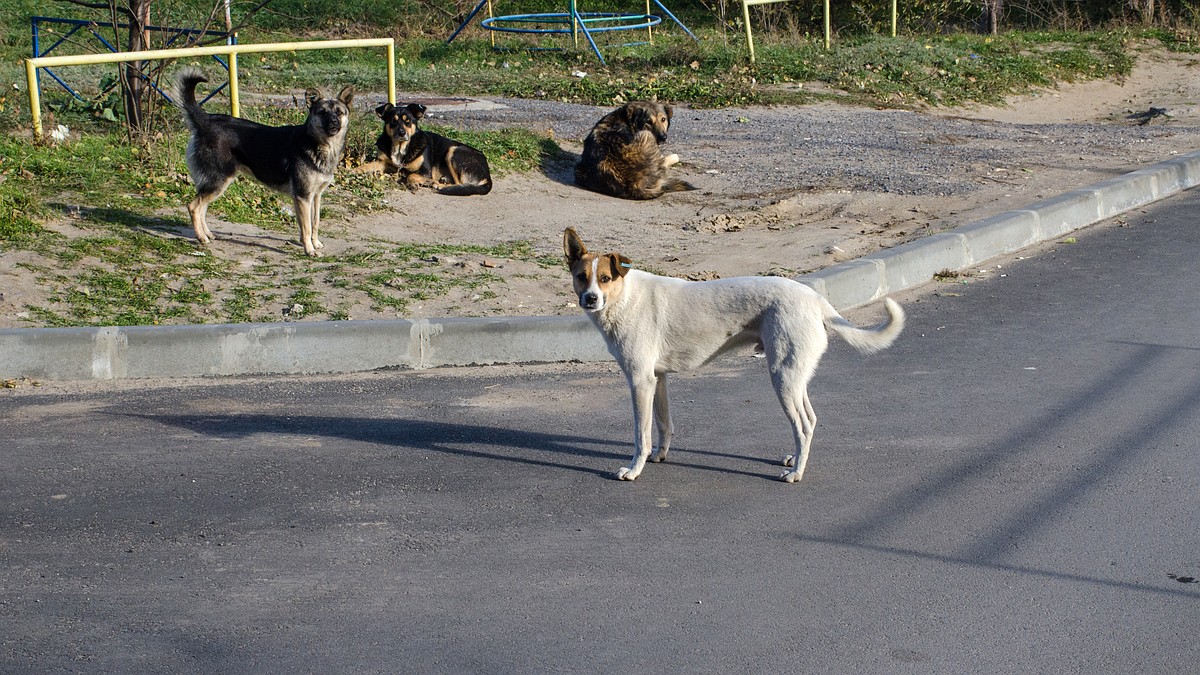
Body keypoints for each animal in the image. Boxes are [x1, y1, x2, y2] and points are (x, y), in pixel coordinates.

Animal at [175, 69, 350, 254]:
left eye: (339, 112)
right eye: (322, 112)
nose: (333, 122)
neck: (318, 144)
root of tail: (205, 121)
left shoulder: (315, 196)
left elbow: (314, 223)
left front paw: (314, 243)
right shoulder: (303, 197)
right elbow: (307, 226)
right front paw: (309, 249)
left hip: (214, 183)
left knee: (202, 208)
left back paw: (207, 234)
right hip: (218, 181)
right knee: (194, 207)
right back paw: (201, 238)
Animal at [566, 228, 902, 480]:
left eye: (605, 278)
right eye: (581, 276)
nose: (590, 299)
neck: (624, 297)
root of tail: (815, 299)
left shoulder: (639, 381)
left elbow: (641, 434)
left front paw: (635, 469)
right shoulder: (656, 379)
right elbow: (663, 424)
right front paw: (659, 456)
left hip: (782, 379)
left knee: (804, 426)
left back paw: (796, 473)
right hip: (794, 377)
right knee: (810, 419)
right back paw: (795, 459)